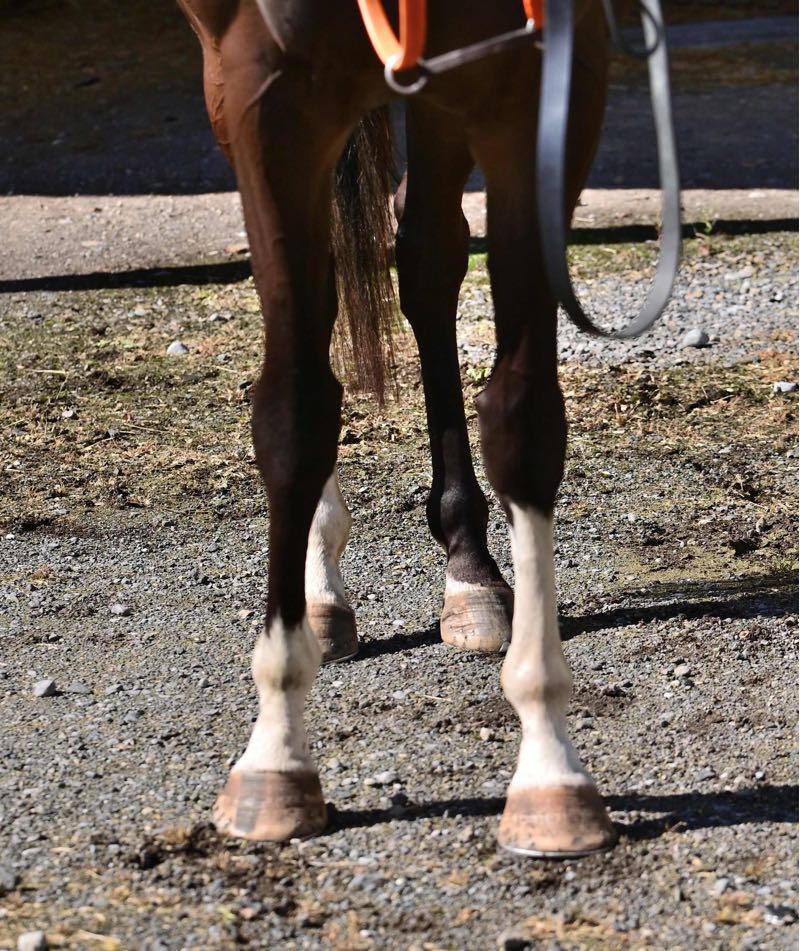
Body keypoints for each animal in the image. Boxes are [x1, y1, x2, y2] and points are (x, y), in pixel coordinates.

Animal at [178, 0, 617, 858]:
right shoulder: (267, 90)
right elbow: (295, 413)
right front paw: (275, 757)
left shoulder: (546, 78)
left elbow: (523, 420)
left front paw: (551, 769)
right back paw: (318, 585)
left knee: (428, 255)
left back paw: (469, 569)